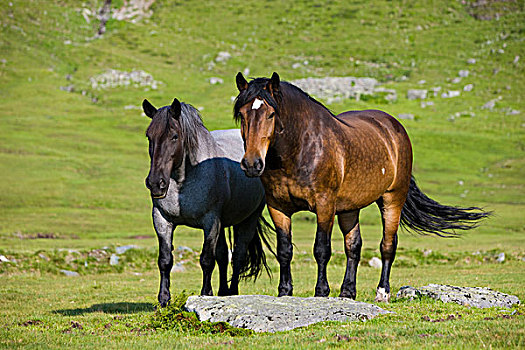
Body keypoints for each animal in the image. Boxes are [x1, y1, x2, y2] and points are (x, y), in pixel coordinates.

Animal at [233, 72, 488, 302]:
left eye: (271, 114)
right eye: (242, 114)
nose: (252, 164)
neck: (299, 150)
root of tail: (393, 127)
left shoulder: (324, 205)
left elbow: (321, 249)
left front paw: (321, 292)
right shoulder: (278, 207)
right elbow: (284, 250)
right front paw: (285, 291)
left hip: (392, 199)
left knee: (387, 245)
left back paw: (382, 292)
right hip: (349, 208)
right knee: (353, 246)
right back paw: (347, 292)